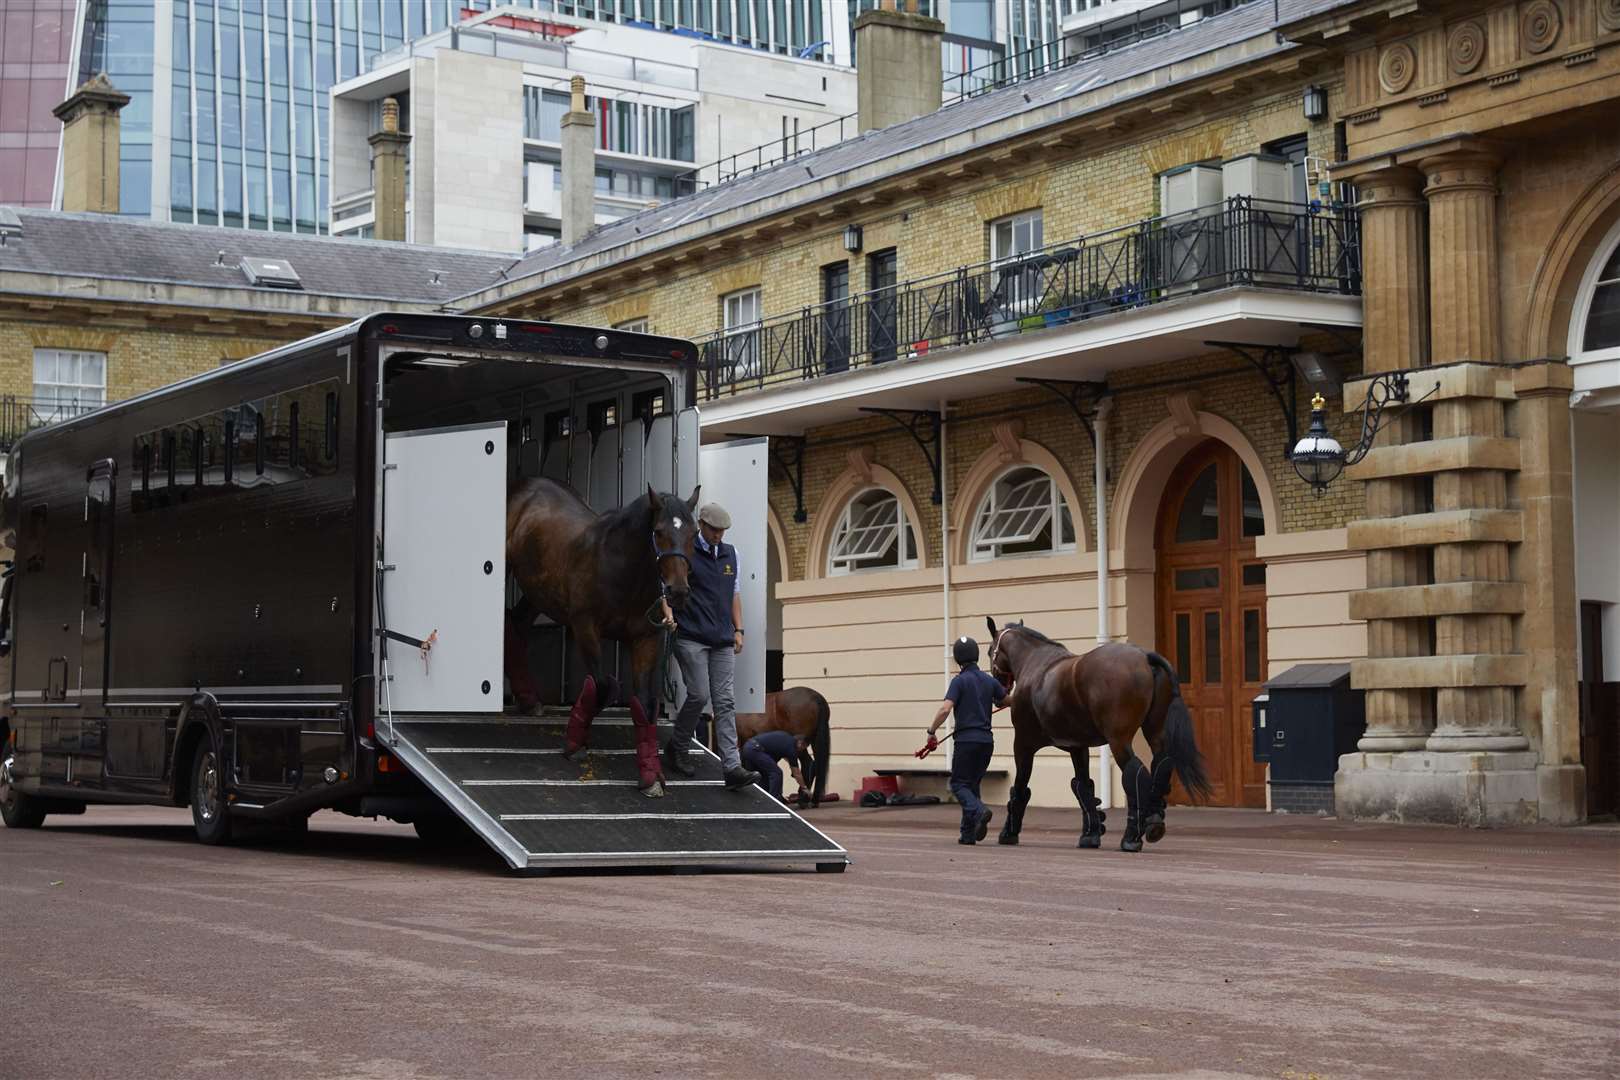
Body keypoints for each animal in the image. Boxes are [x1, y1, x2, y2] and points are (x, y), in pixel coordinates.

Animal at [502, 476, 699, 799]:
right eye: (658, 532)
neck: (621, 569)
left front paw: (650, 776)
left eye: (694, 533)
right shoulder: (585, 627)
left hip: (538, 590)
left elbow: (644, 704)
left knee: (516, 625)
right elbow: (605, 687)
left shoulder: (646, 639)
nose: (678, 592)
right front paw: (575, 743)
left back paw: (529, 700)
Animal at [978, 615, 1211, 854]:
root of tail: (1145, 656)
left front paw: (1009, 833)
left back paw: (1131, 837)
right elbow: (1083, 786)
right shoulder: (1077, 747)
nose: (1000, 690)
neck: (1036, 666)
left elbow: (1020, 787)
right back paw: (1154, 821)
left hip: (1119, 741)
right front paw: (1090, 833)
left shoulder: (1023, 744)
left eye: (989, 651)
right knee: (1161, 764)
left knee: (1135, 774)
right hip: (1155, 733)